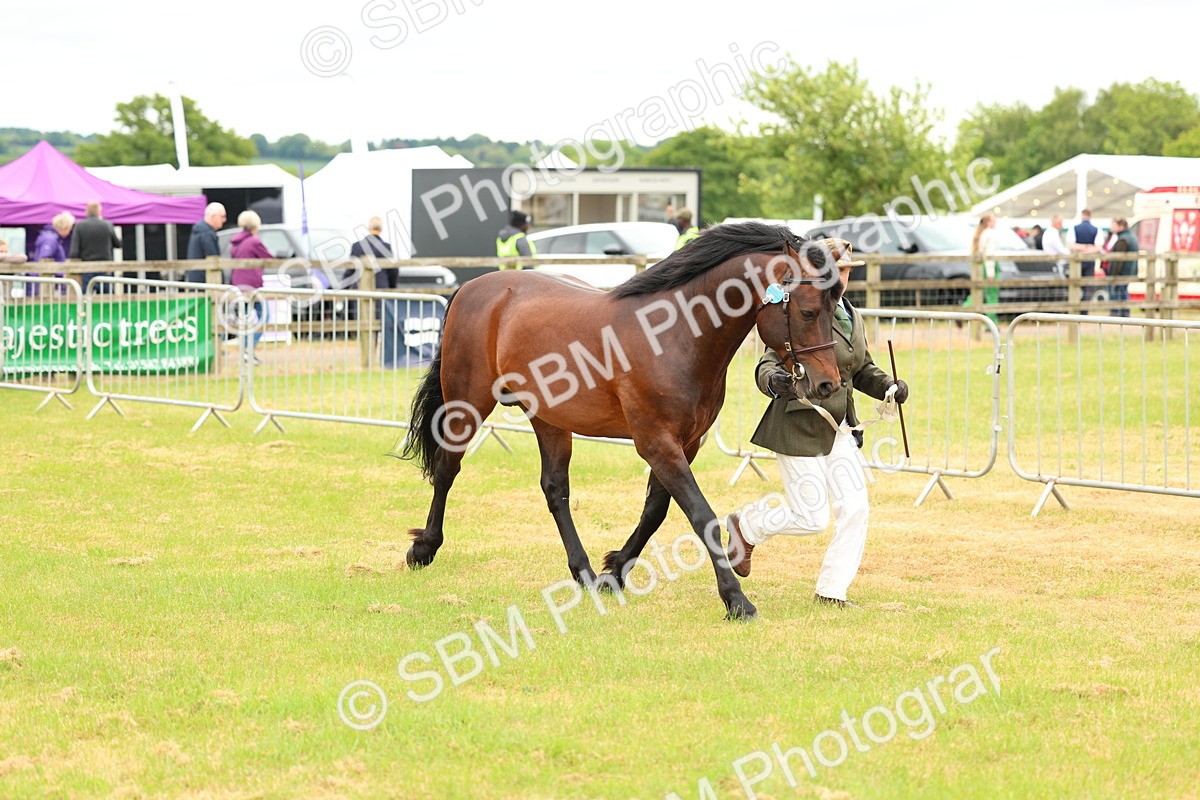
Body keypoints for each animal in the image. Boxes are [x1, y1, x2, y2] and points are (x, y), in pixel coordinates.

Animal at [400, 221, 848, 620]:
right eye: (808, 312)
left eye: (836, 308)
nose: (828, 384)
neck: (676, 336)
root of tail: (473, 287)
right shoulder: (656, 443)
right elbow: (701, 516)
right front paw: (736, 601)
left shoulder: (685, 444)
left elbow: (655, 511)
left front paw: (613, 571)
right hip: (467, 403)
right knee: (447, 468)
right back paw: (424, 548)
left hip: (549, 419)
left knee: (554, 489)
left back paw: (582, 572)